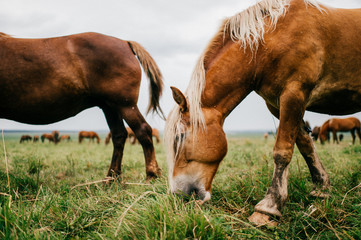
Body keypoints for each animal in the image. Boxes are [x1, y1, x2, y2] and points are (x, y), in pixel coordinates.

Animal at [0, 31, 162, 179]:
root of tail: (125, 43)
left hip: (125, 105)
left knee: (143, 131)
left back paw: (151, 174)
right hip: (110, 107)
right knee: (119, 136)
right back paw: (111, 178)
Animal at [164, 0, 360, 226]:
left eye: (180, 136)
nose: (178, 196)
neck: (268, 43)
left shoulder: (294, 94)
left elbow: (282, 151)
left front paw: (269, 207)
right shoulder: (277, 104)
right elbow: (305, 145)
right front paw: (321, 188)